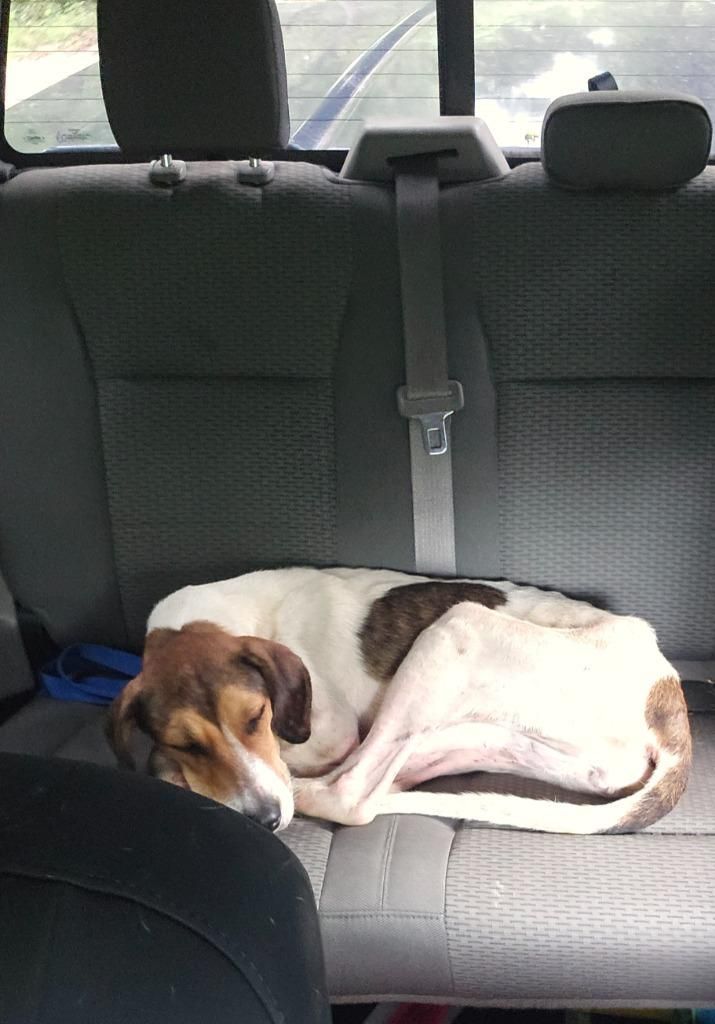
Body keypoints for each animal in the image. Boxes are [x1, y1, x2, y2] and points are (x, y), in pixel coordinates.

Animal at [106, 567, 691, 834]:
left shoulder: (329, 732)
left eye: (256, 717)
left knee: (352, 795)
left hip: (457, 627)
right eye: (188, 742)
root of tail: (665, 686)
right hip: (490, 738)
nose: (266, 821)